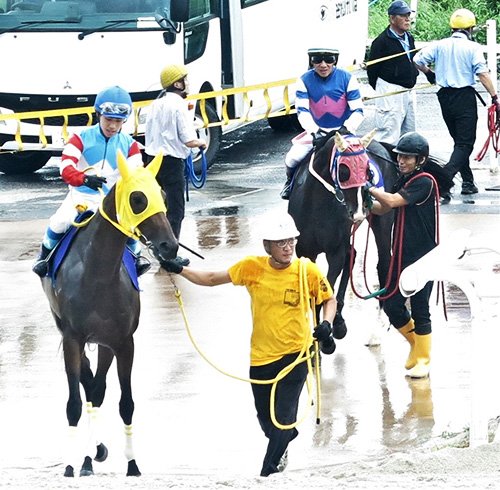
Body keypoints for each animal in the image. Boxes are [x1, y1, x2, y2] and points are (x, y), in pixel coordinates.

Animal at [288, 130, 400, 336]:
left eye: (368, 171)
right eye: (344, 171)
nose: (358, 211)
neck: (315, 206)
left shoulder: (335, 250)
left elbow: (327, 289)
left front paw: (325, 333)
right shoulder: (305, 251)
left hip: (383, 218)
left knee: (383, 262)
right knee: (352, 254)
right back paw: (339, 317)